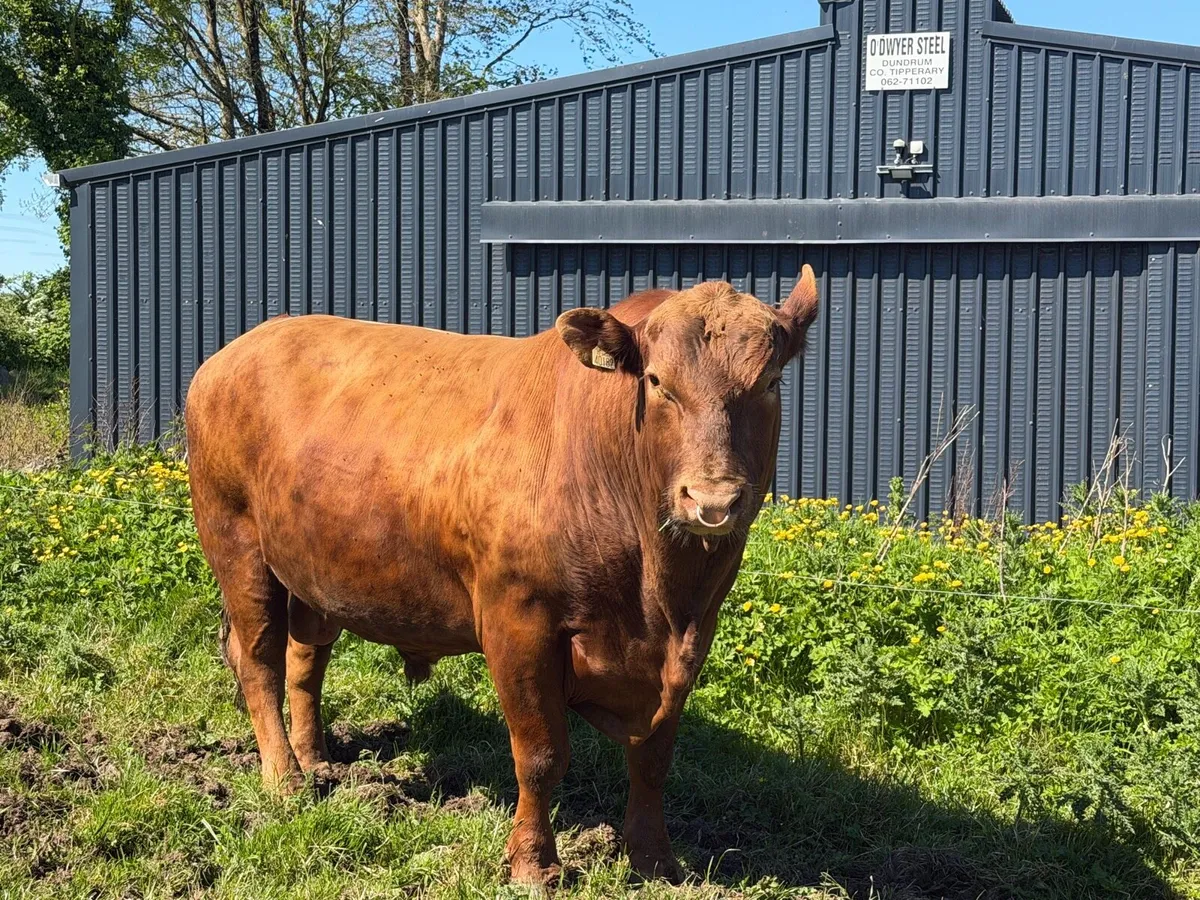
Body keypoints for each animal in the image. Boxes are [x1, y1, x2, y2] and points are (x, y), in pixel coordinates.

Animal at [185, 267, 819, 885]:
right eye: (659, 382)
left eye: (768, 383)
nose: (711, 501)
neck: (656, 591)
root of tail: (241, 347)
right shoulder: (518, 623)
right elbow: (540, 754)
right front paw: (534, 864)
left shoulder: (693, 636)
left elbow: (654, 758)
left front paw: (655, 859)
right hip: (236, 543)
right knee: (259, 660)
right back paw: (285, 779)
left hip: (314, 566)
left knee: (304, 658)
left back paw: (316, 759)